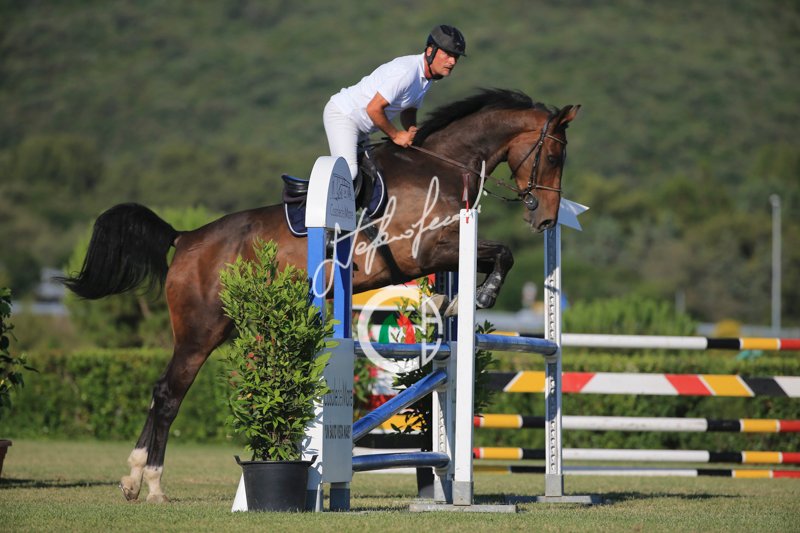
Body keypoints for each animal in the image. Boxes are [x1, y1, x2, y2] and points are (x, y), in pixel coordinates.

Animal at [62, 88, 579, 502]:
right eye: (555, 157)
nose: (546, 219)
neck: (439, 167)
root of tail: (185, 238)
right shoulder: (426, 249)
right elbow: (501, 253)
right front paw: (480, 296)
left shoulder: (442, 251)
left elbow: (487, 259)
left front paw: (452, 302)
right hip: (199, 331)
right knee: (168, 395)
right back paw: (151, 485)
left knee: (160, 393)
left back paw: (131, 480)